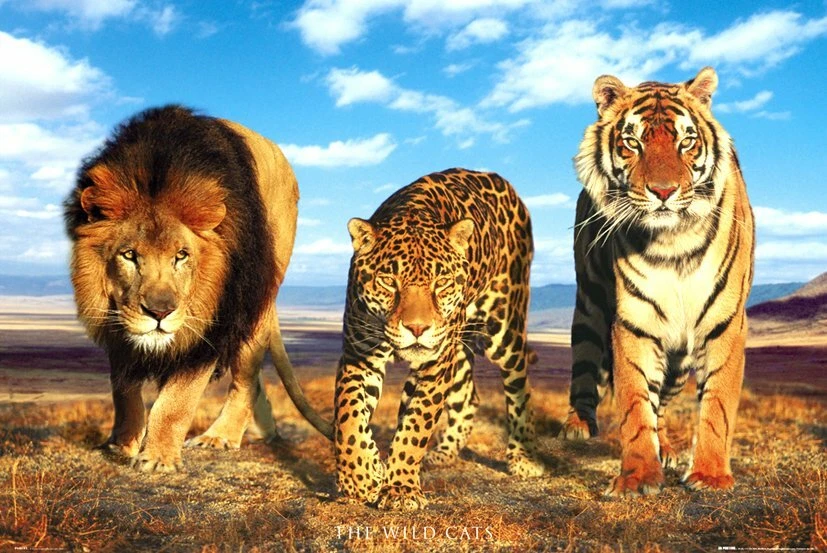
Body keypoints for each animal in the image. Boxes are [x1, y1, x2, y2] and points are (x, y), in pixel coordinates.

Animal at [64, 105, 333, 472]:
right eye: (129, 255)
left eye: (181, 256)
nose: (160, 312)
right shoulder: (118, 321)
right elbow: (124, 391)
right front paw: (122, 445)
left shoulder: (212, 323)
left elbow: (176, 401)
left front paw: (158, 458)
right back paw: (264, 430)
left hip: (260, 298)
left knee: (245, 379)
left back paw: (220, 436)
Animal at [334, 169, 544, 511]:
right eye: (389, 281)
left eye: (441, 281)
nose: (417, 328)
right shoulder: (359, 356)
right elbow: (349, 416)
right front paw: (361, 476)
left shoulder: (434, 364)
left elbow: (416, 424)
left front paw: (400, 489)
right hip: (456, 349)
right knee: (468, 397)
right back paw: (443, 453)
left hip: (503, 330)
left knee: (519, 387)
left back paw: (523, 458)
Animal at [560, 67, 755, 496]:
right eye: (633, 142)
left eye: (687, 141)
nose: (663, 191)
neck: (673, 242)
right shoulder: (634, 321)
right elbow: (635, 402)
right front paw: (637, 478)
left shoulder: (725, 322)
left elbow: (717, 403)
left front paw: (710, 475)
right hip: (589, 306)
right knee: (585, 365)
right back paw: (577, 426)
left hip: (679, 357)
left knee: (663, 402)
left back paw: (665, 447)